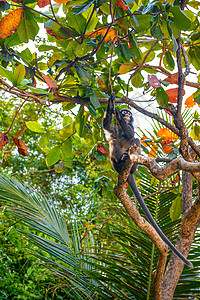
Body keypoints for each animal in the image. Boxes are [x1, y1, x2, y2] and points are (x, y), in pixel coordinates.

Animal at [102, 92, 193, 268]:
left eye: (128, 113)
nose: (126, 114)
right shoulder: (115, 129)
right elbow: (107, 126)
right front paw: (111, 102)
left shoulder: (127, 129)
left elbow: (131, 135)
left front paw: (118, 114)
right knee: (113, 141)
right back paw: (120, 163)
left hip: (134, 161)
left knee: (135, 140)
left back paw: (127, 161)